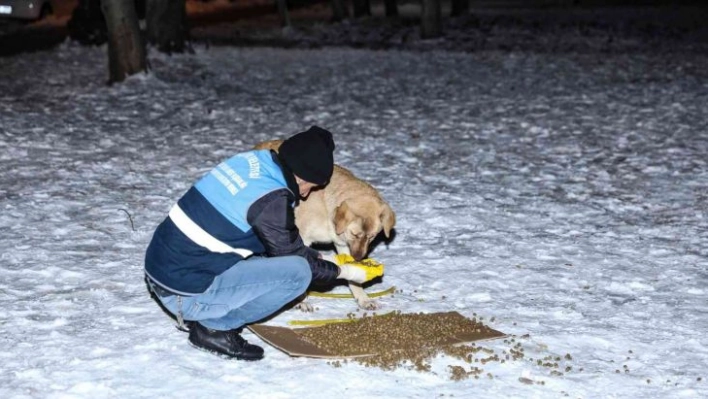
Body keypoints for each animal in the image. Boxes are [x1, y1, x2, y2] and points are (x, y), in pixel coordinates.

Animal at [256, 139, 398, 310]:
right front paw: (301, 301)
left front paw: (362, 297)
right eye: (355, 234)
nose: (358, 258)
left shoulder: (343, 244)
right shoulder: (303, 240)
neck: (327, 212)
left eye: (371, 237)